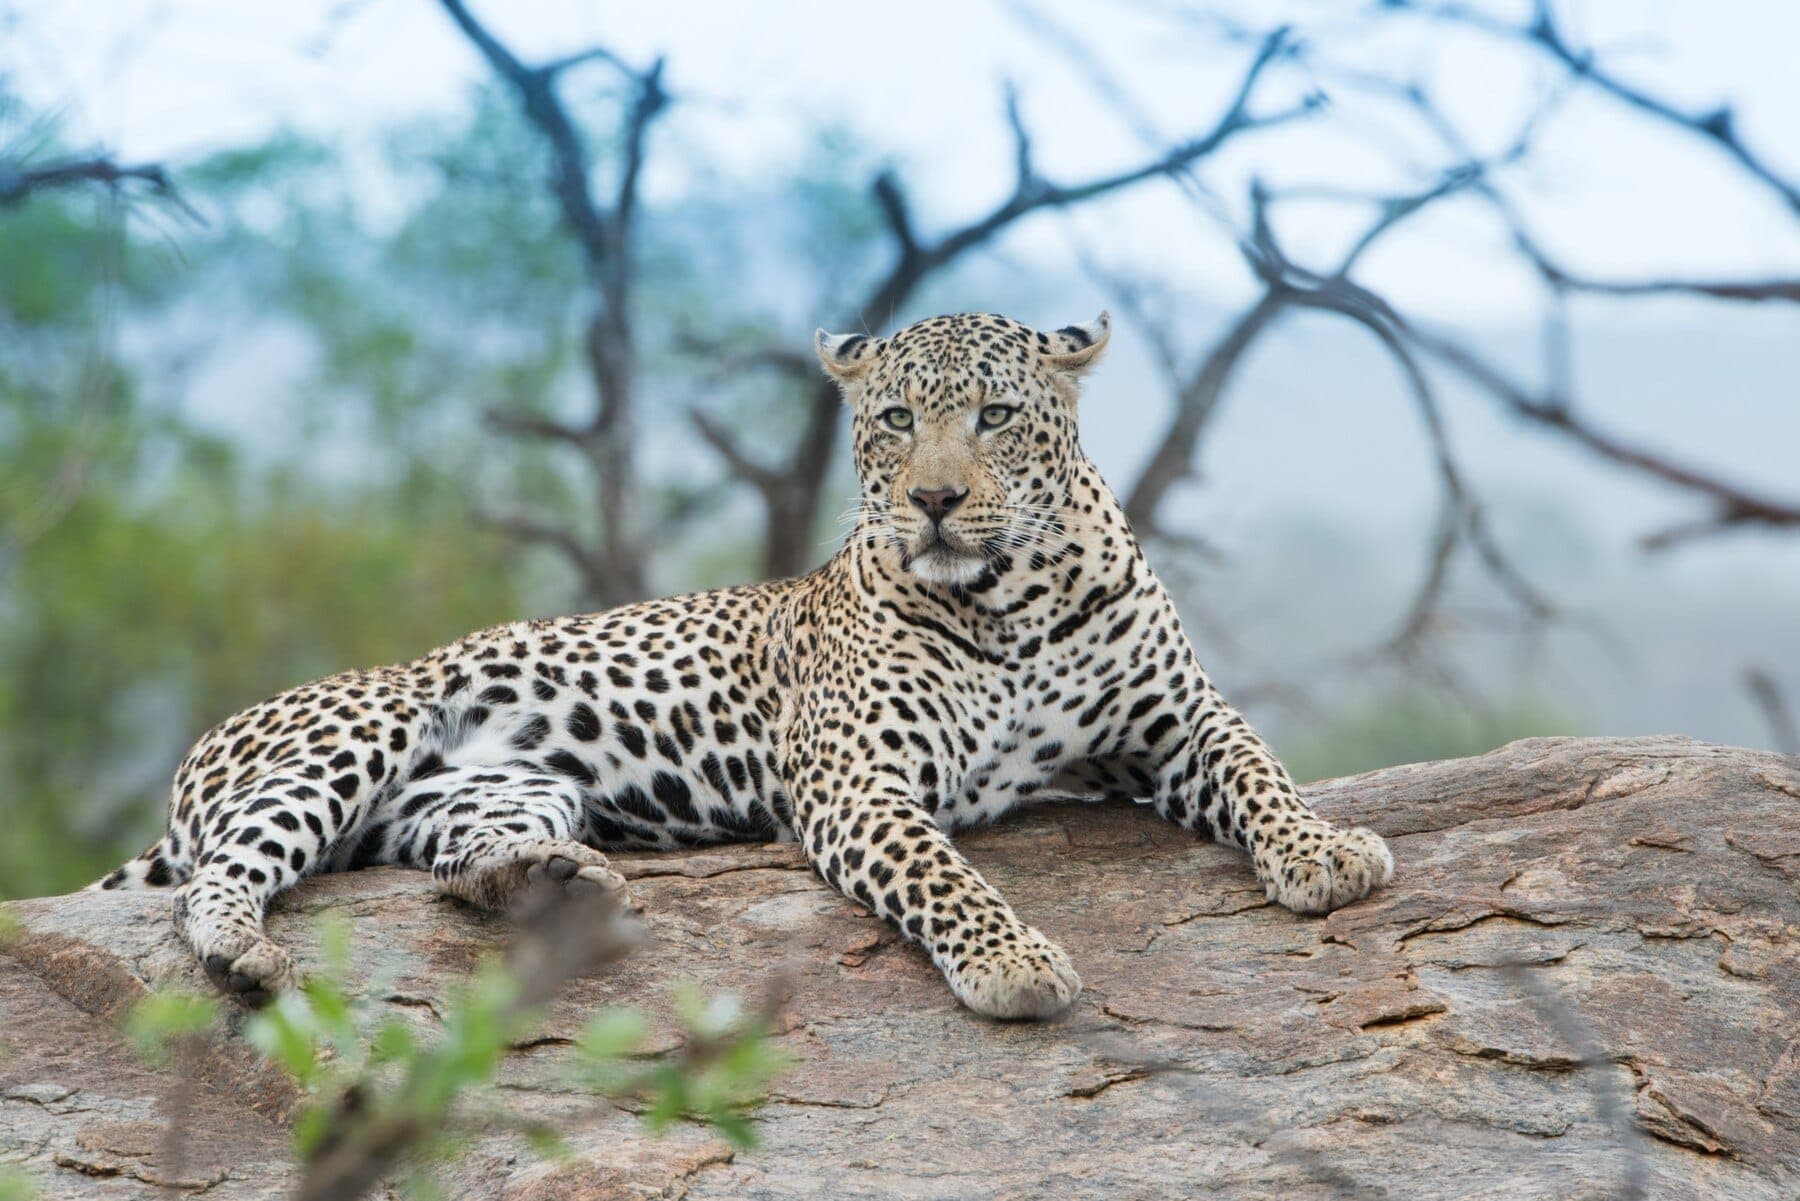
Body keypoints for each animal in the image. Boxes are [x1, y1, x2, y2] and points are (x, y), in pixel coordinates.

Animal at [94, 310, 1394, 1018]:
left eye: (994, 417)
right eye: (891, 421)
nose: (933, 501)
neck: (1012, 601)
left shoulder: (1177, 720)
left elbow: (1260, 767)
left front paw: (1326, 850)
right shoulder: (861, 781)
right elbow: (945, 874)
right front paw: (1013, 959)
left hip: (496, 791)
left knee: (455, 866)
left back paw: (553, 884)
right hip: (354, 734)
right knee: (222, 875)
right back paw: (245, 951)